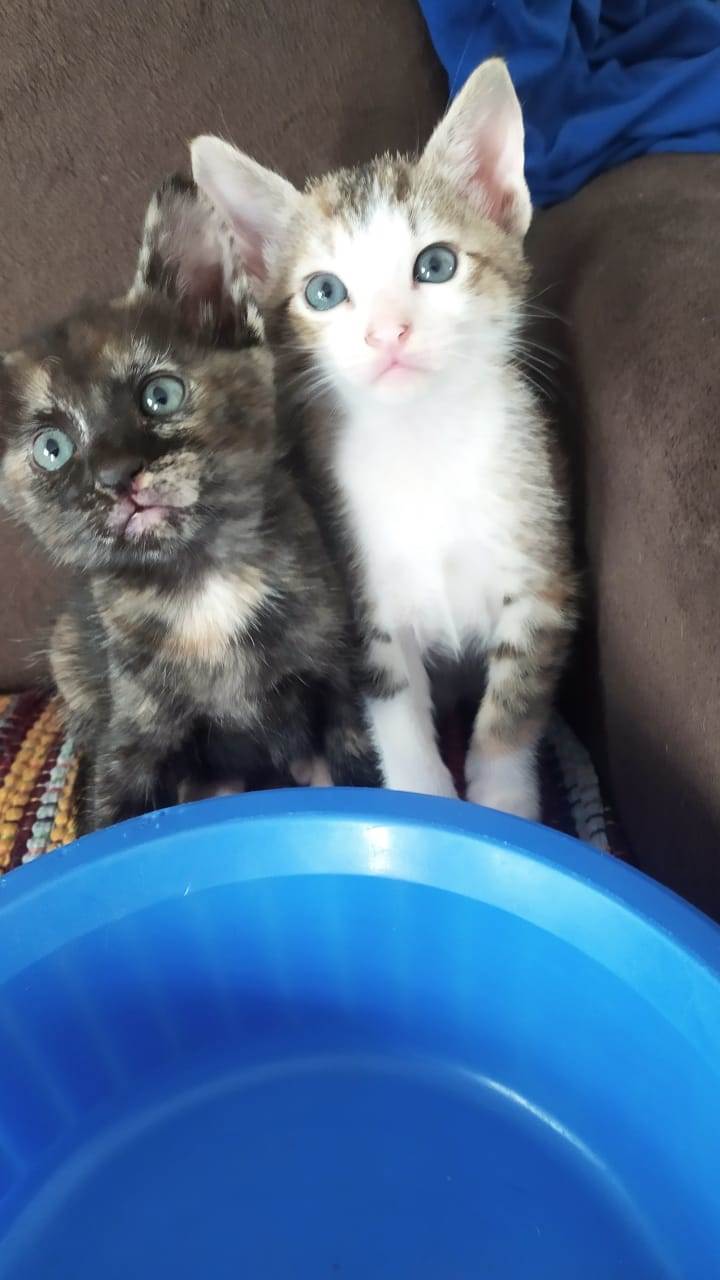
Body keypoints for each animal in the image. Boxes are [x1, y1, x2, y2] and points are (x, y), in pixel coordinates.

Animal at [0, 175, 379, 834]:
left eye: (161, 394)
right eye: (52, 448)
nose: (117, 476)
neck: (204, 583)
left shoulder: (338, 683)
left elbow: (361, 772)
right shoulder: (132, 740)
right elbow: (112, 820)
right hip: (69, 650)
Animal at [190, 57, 576, 821]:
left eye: (436, 265)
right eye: (324, 292)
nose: (387, 333)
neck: (421, 443)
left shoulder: (540, 584)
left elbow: (511, 711)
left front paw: (503, 808)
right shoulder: (362, 606)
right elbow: (396, 714)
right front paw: (424, 803)